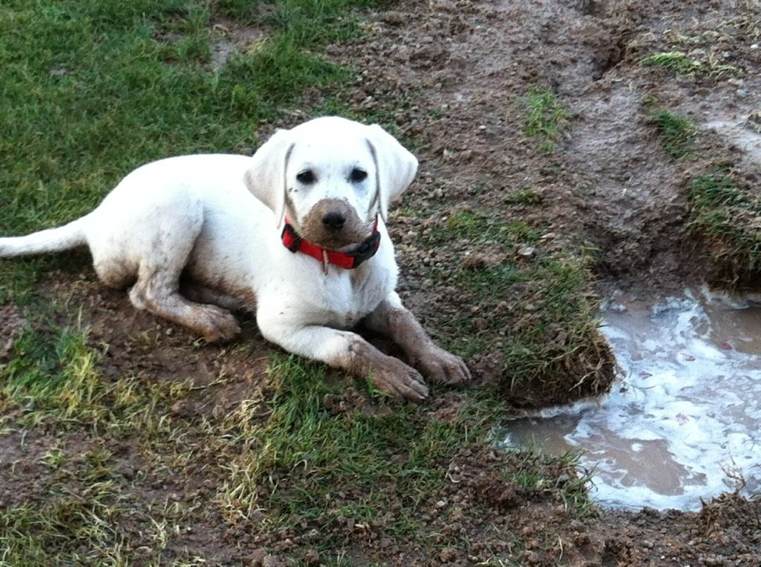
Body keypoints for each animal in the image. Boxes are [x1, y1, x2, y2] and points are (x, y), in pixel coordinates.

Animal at [1, 116, 470, 400]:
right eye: (304, 177)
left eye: (360, 175)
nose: (334, 218)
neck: (336, 264)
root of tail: (97, 215)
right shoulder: (283, 326)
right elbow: (349, 343)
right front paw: (390, 371)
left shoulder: (383, 297)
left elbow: (407, 323)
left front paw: (438, 358)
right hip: (176, 208)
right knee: (147, 291)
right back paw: (208, 319)